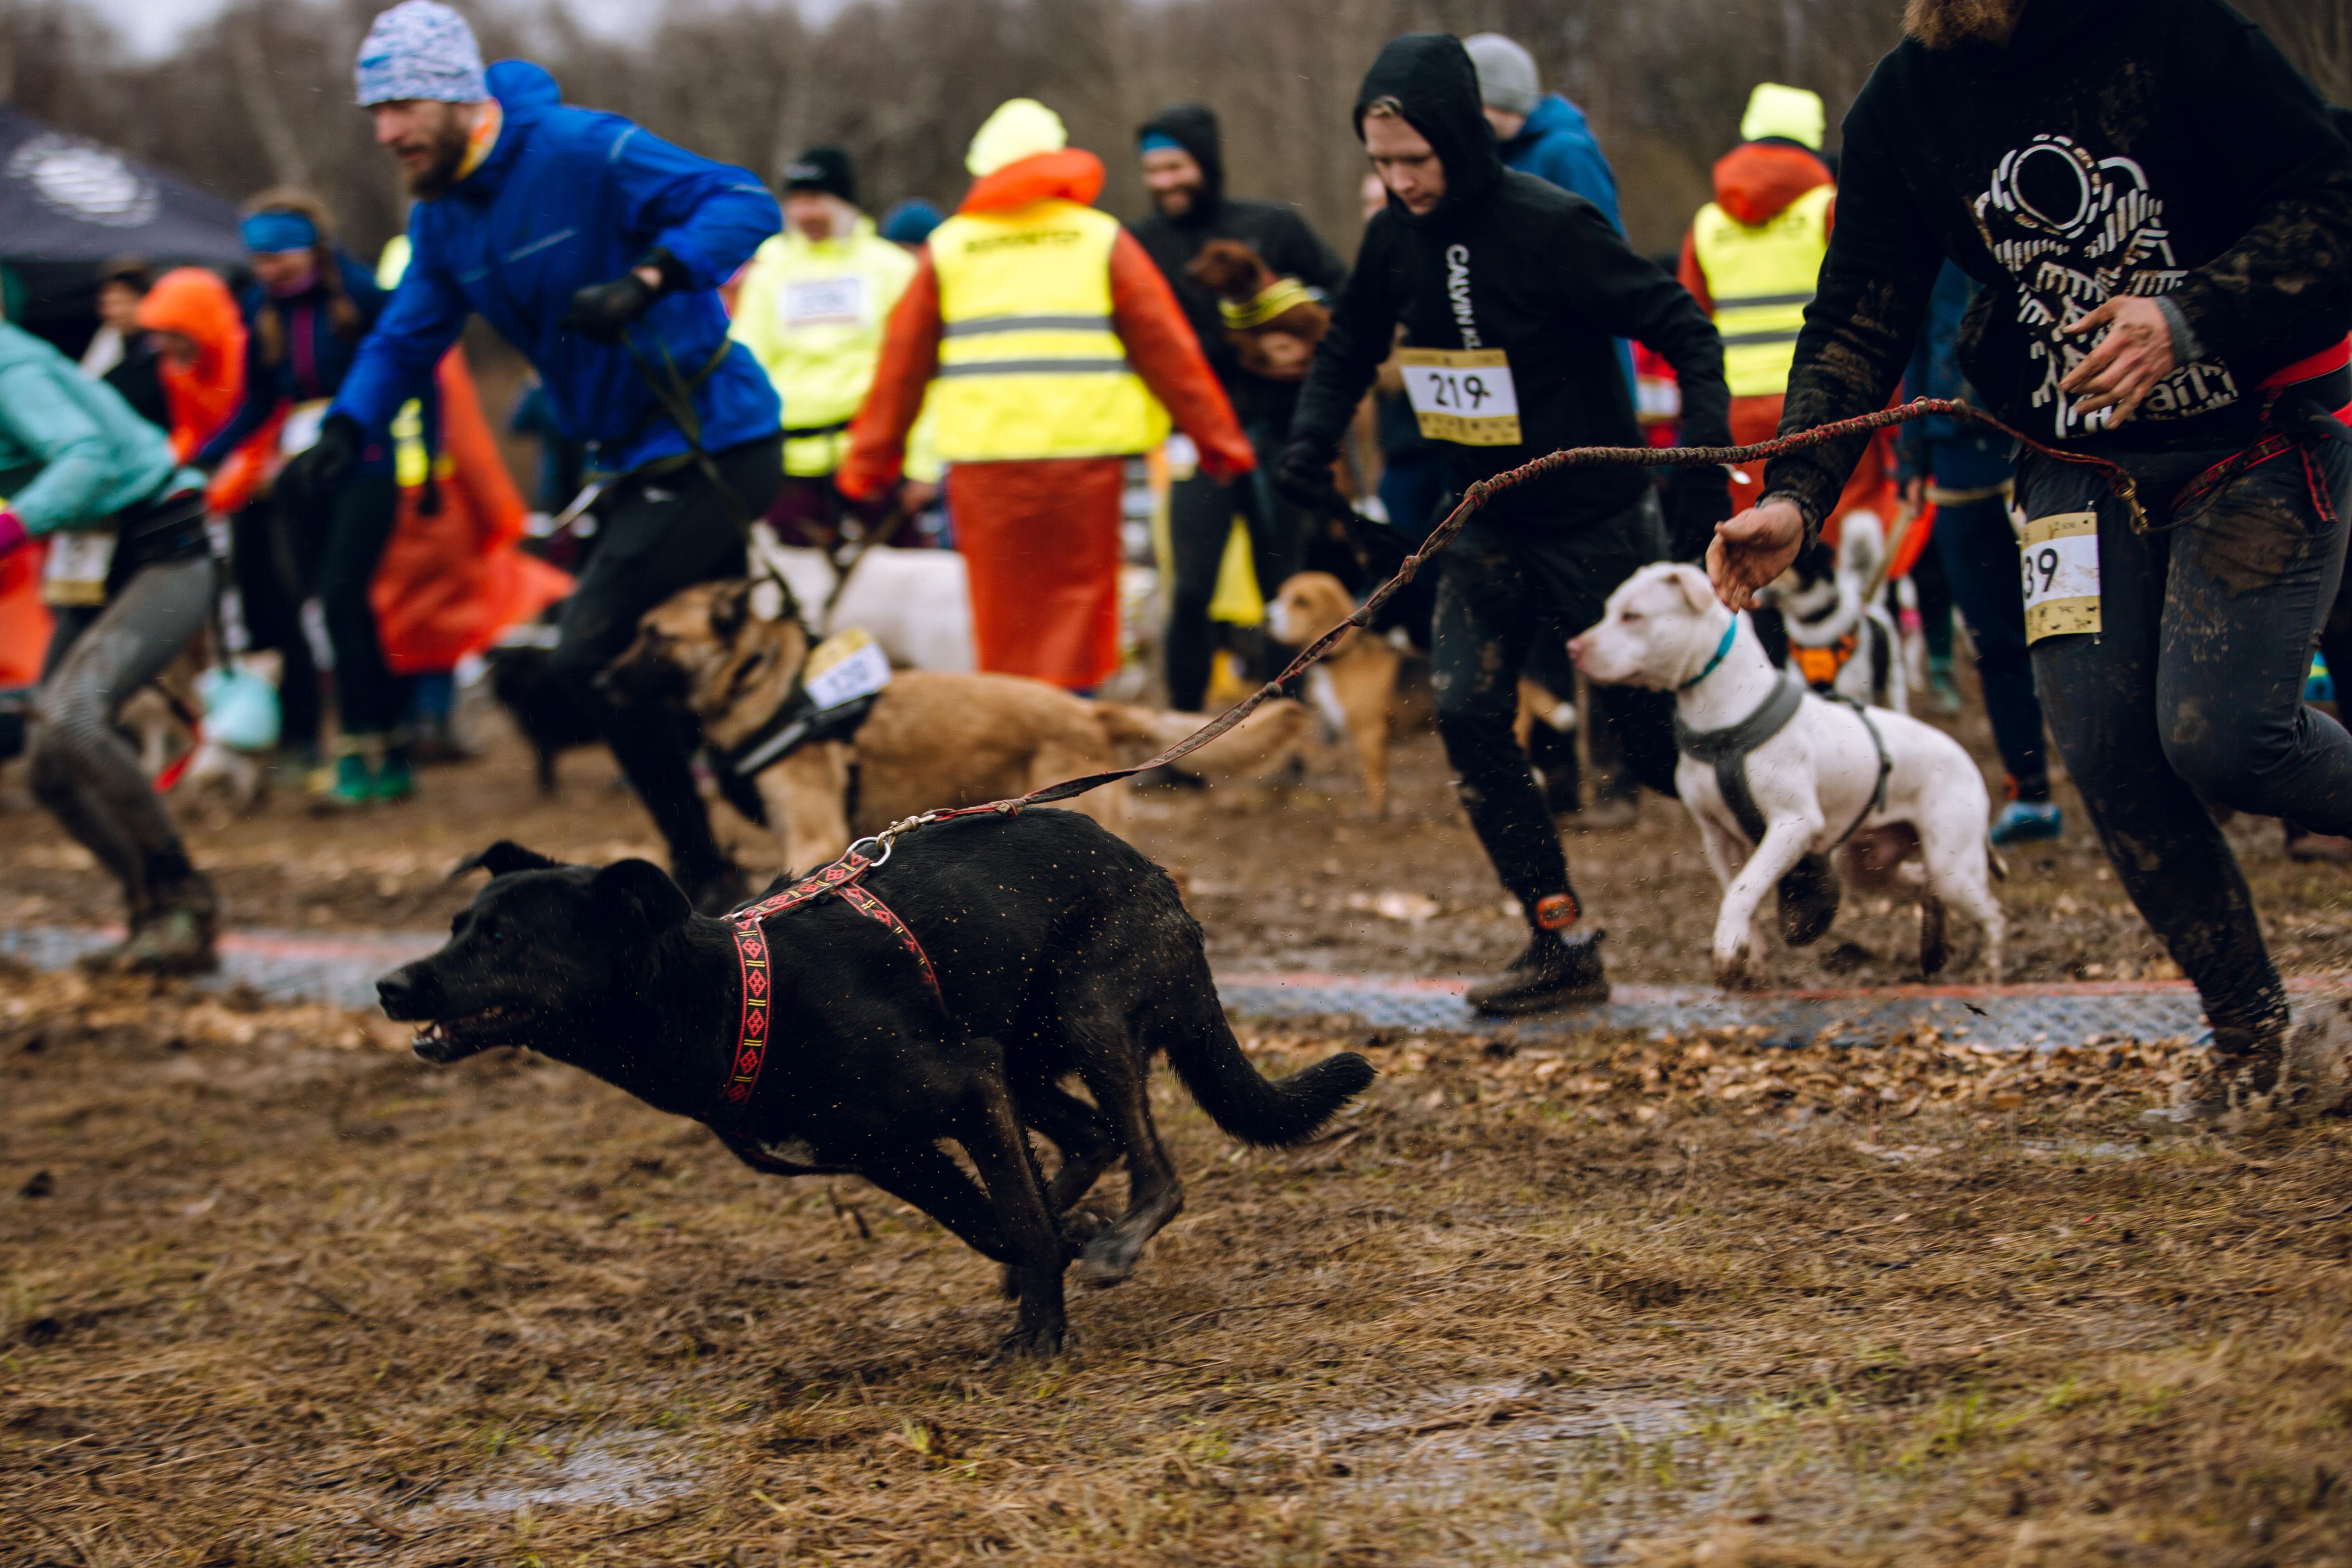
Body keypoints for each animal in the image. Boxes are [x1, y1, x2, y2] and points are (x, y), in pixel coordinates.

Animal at [379, 808, 1374, 1363]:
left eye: (502, 939)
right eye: (459, 923)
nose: (389, 985)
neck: (728, 993)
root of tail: (1157, 874)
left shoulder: (962, 1088)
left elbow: (1015, 1217)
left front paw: (1041, 1333)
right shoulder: (885, 1147)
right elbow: (989, 1220)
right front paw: (1049, 1255)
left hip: (1084, 1012)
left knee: (1151, 1165)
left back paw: (1119, 1234)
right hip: (1017, 1051)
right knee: (1090, 1135)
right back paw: (1086, 1224)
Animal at [1562, 557, 2004, 987]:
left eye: (1632, 616)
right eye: (1609, 610)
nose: (1573, 648)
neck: (1724, 712)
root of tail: (1964, 757)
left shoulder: (1793, 823)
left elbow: (1744, 887)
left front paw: (1728, 945)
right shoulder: (1716, 835)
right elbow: (1736, 889)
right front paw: (1748, 959)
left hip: (1951, 863)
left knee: (1991, 912)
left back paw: (1990, 967)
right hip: (1868, 865)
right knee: (1923, 882)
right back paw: (1933, 944)